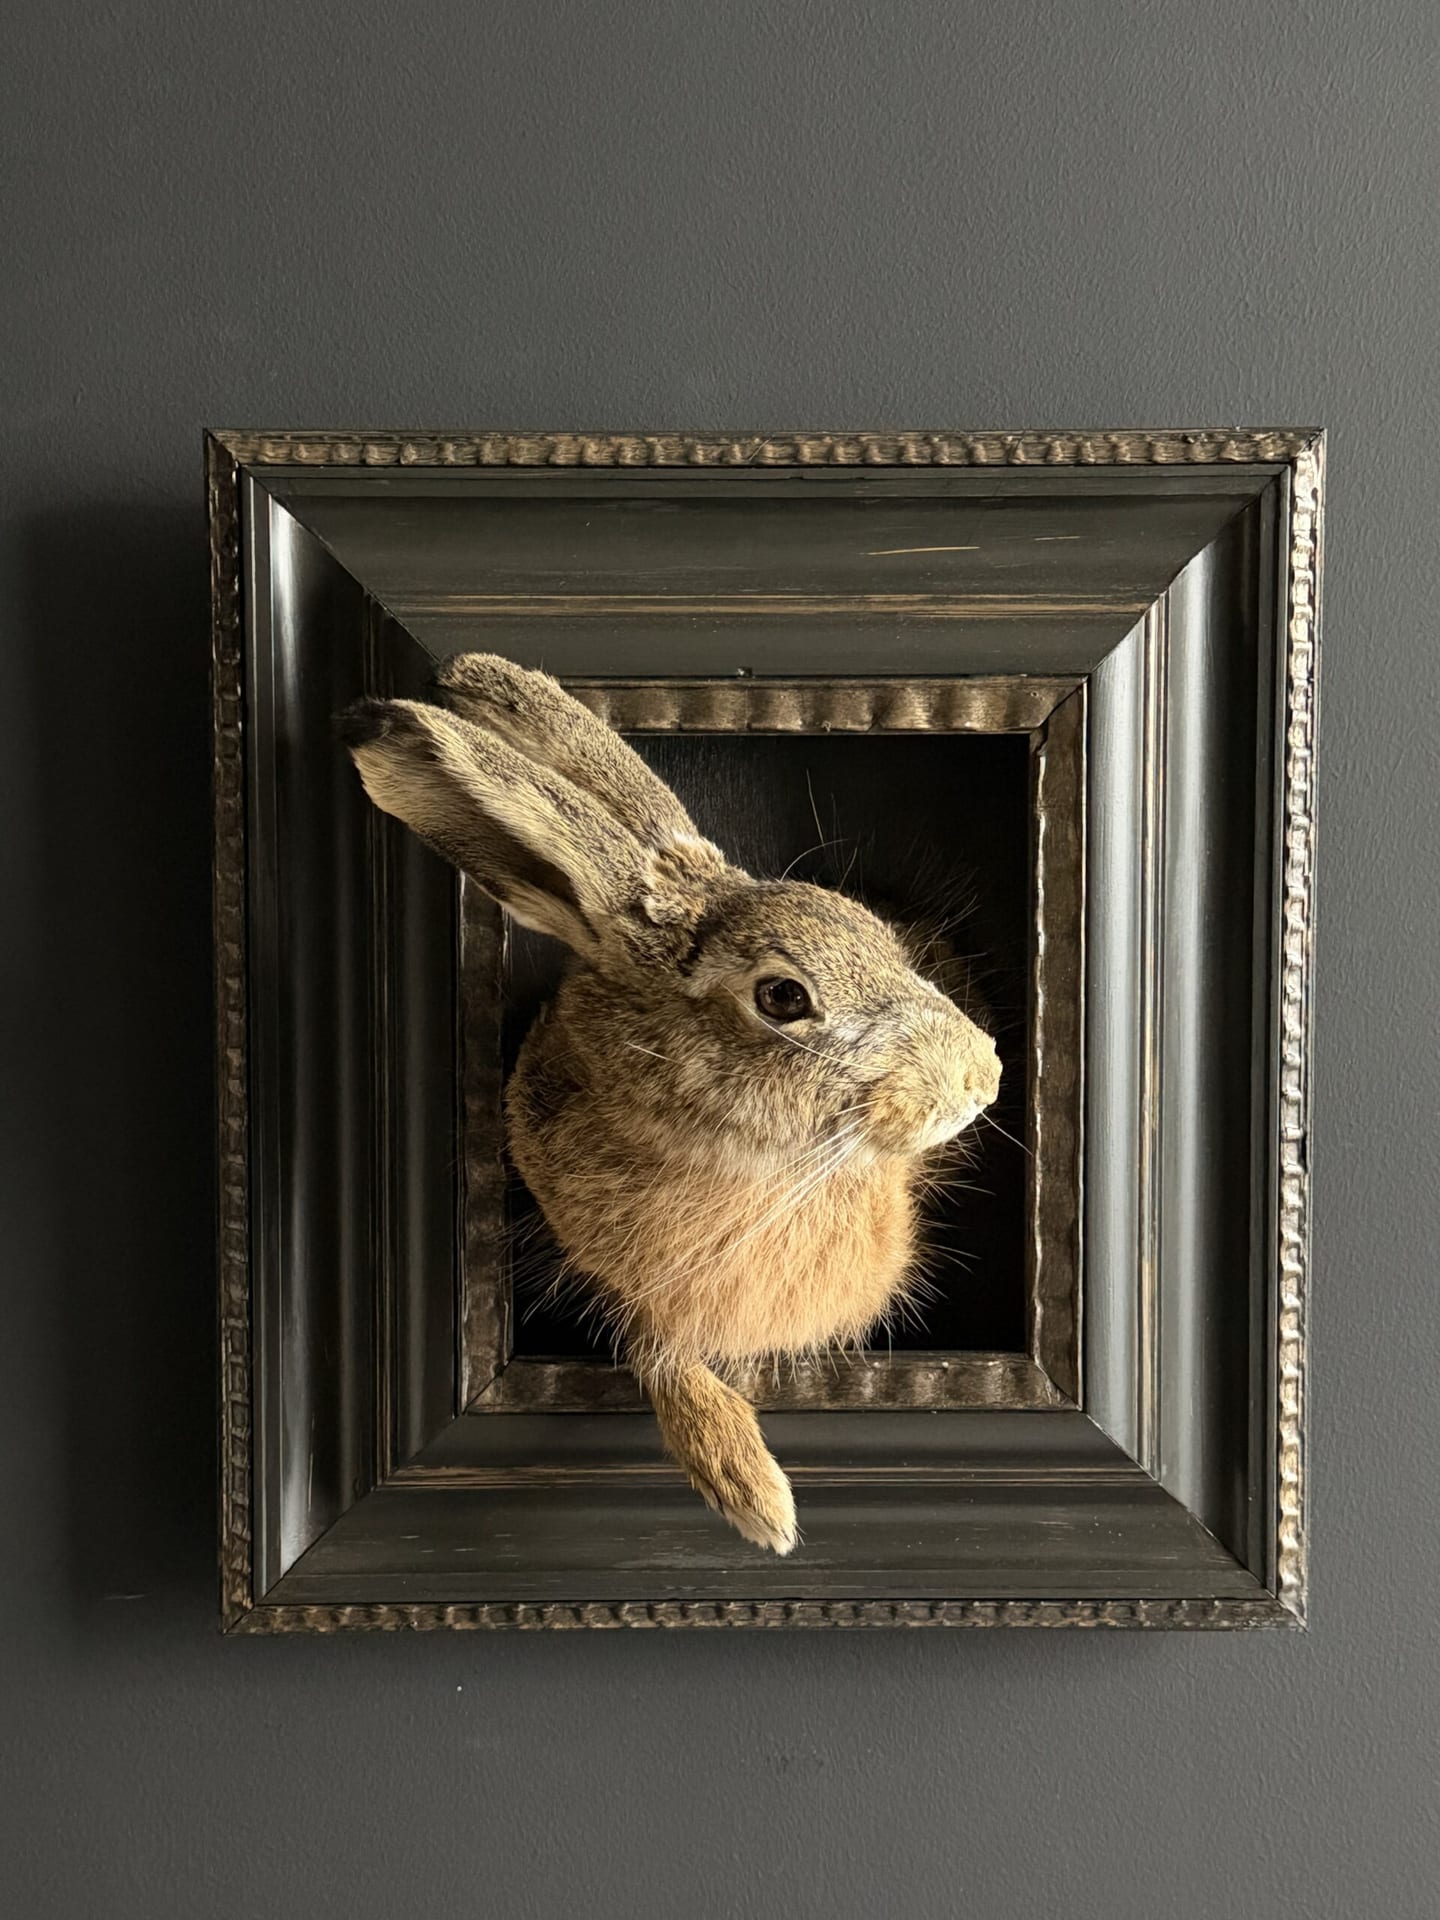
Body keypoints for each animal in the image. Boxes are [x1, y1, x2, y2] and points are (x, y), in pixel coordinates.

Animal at [338, 655, 1002, 1553]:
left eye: (876, 933)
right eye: (783, 997)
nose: (983, 1077)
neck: (758, 1168)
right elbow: (661, 1357)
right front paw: (756, 1499)